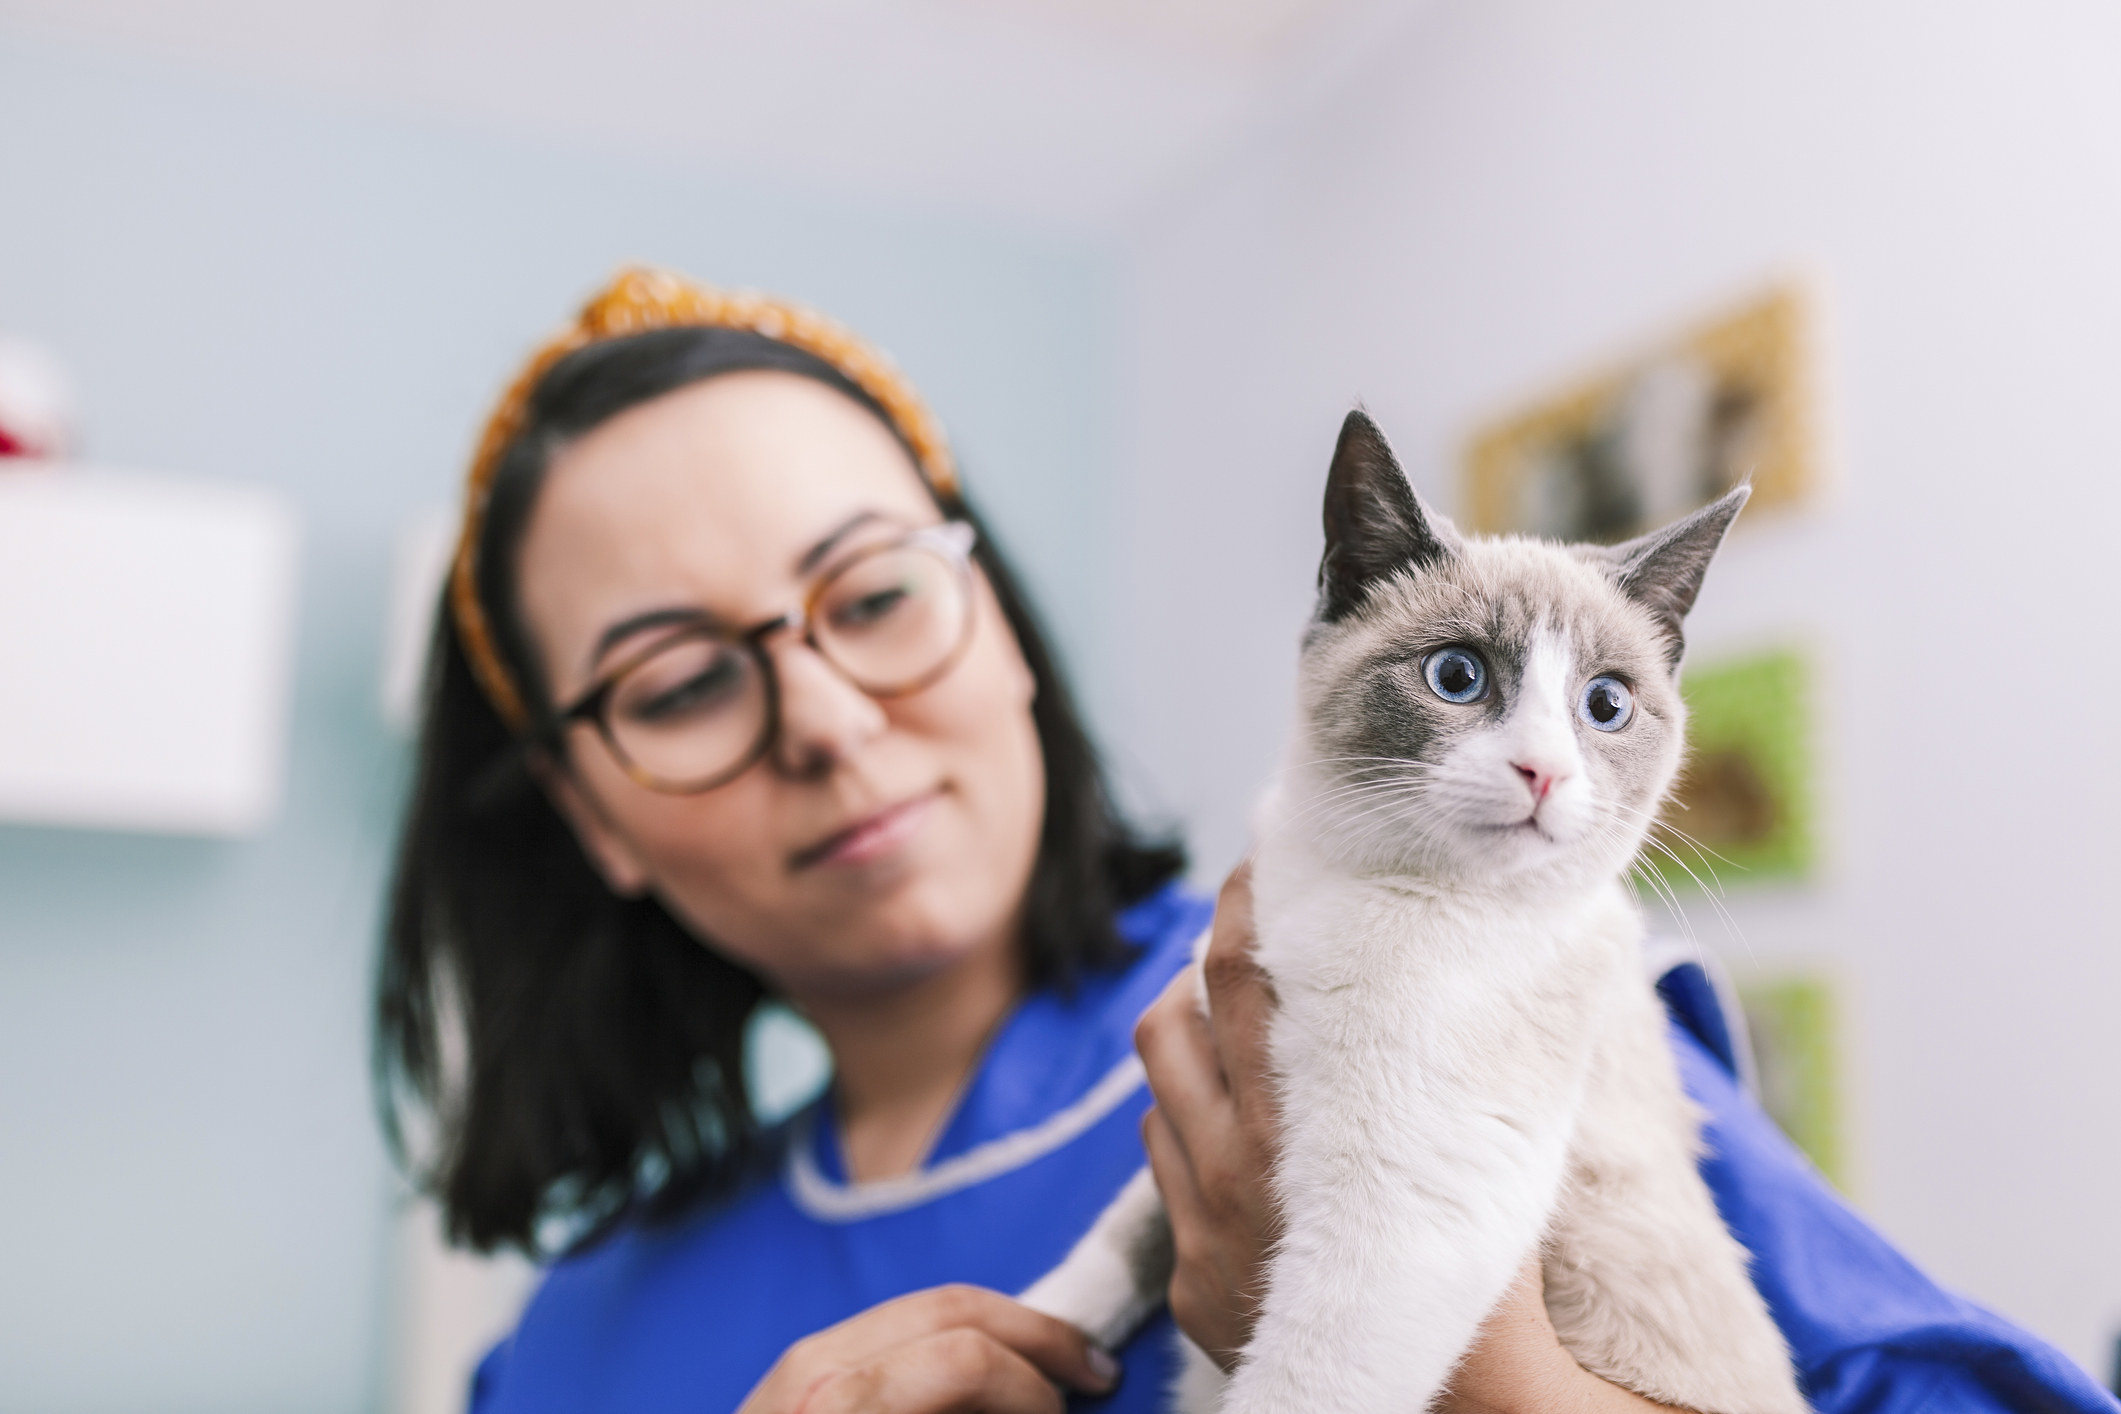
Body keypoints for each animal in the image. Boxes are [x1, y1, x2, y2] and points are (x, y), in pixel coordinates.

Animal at [1026, 411, 1807, 1414]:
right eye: (1456, 676)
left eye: (1604, 703)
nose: (1542, 771)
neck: (1354, 879)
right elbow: (1122, 1233)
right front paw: (1027, 1334)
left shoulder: (1402, 1215)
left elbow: (1295, 1383)